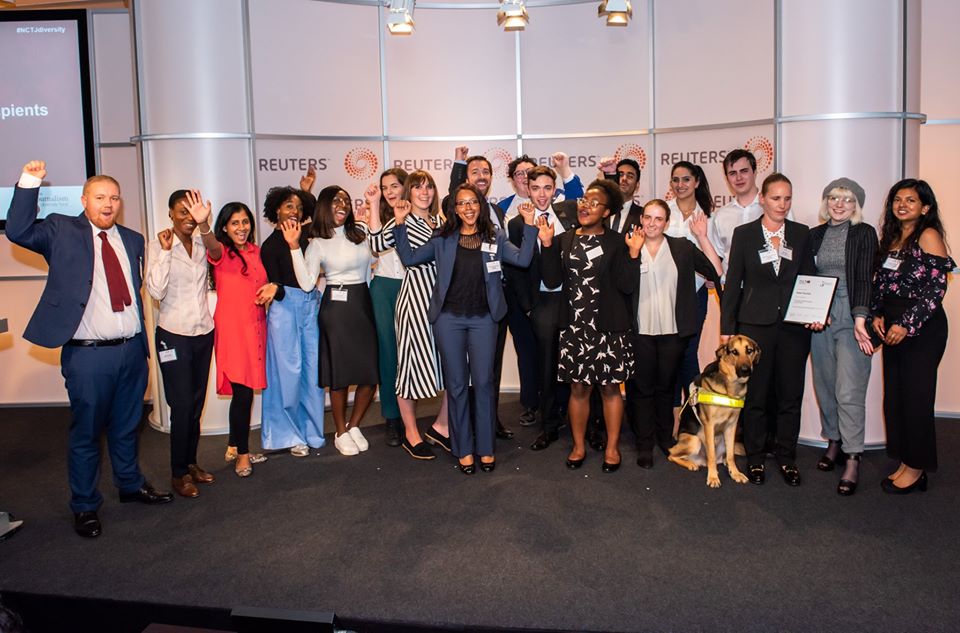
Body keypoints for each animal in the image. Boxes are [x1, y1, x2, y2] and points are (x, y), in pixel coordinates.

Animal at [672, 336, 760, 488]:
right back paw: (690, 464)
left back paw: (724, 463)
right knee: (671, 454)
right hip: (694, 440)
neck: (729, 389)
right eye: (734, 352)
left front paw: (735, 473)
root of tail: (700, 460)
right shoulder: (709, 425)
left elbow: (731, 455)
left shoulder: (731, 426)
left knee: (726, 455)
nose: (745, 370)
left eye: (749, 351)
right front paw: (713, 477)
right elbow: (711, 455)